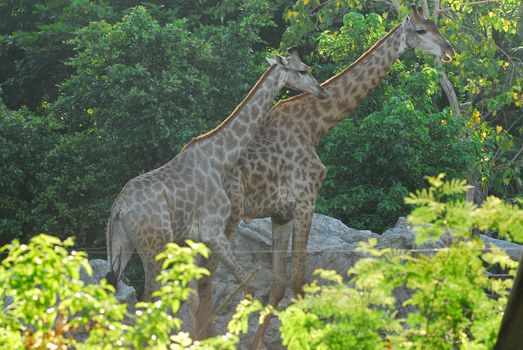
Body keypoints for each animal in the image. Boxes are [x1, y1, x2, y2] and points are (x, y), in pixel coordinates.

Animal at [105, 47, 328, 312]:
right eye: (302, 70)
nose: (322, 91)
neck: (220, 157)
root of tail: (119, 208)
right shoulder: (213, 232)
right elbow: (247, 288)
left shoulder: (192, 238)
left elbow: (196, 295)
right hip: (155, 246)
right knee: (149, 299)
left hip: (122, 246)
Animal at [199, 5, 456, 348]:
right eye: (421, 30)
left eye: (435, 25)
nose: (450, 50)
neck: (315, 126)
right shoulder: (305, 203)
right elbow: (299, 282)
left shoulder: (281, 214)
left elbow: (279, 284)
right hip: (228, 218)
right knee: (205, 277)